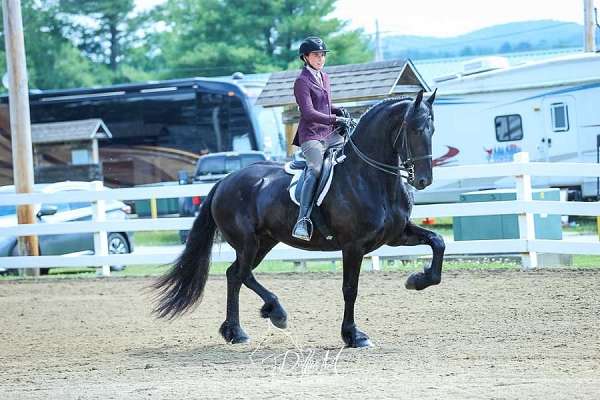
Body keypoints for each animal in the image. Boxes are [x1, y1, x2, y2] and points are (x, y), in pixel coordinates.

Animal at [154, 90, 446, 346]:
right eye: (414, 129)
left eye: (433, 130)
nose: (423, 180)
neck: (369, 177)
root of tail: (225, 180)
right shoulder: (353, 246)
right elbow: (349, 289)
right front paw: (353, 336)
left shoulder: (395, 235)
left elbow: (438, 242)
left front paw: (417, 280)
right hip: (247, 242)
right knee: (243, 274)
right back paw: (275, 312)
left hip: (264, 243)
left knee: (234, 275)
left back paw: (235, 332)